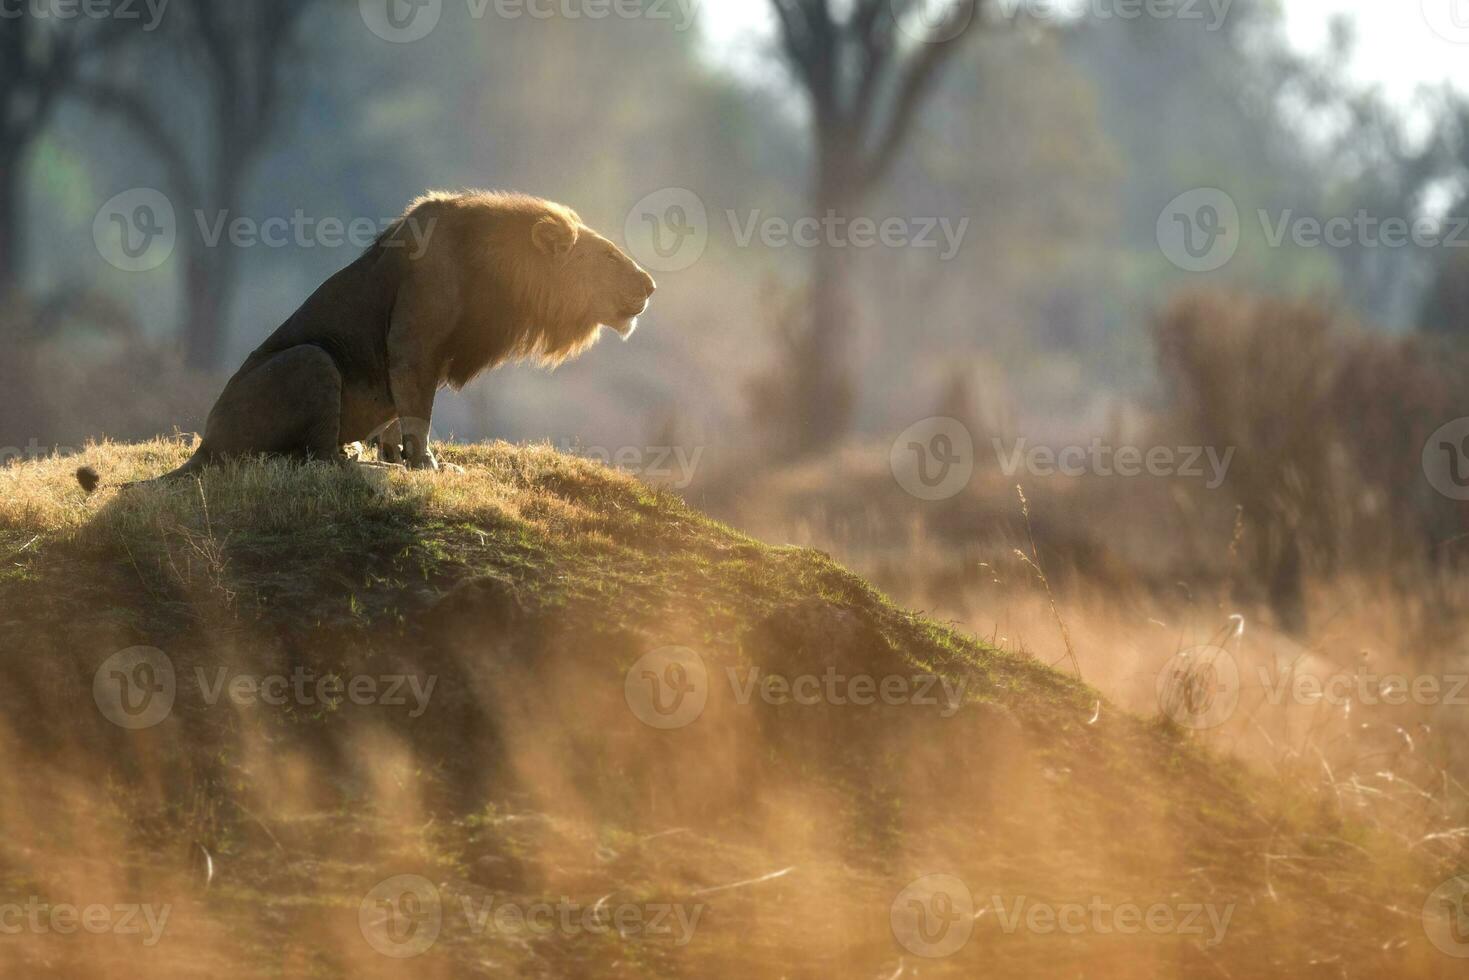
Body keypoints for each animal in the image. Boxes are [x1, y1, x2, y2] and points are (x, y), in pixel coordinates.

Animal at [77, 191, 658, 490]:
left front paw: (399, 453)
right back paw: (357, 460)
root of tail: (204, 443)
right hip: (312, 360)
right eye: (609, 256)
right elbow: (418, 410)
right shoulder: (413, 342)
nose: (651, 285)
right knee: (310, 458)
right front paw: (426, 466)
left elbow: (402, 412)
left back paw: (359, 449)